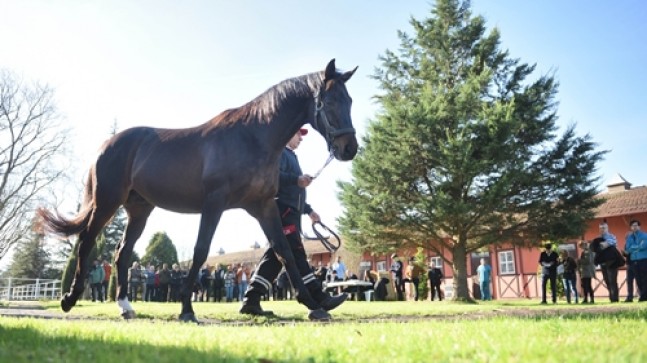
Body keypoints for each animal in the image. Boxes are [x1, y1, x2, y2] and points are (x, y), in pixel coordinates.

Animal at [39, 59, 360, 324]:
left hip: (139, 209)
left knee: (122, 253)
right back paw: (69, 299)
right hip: (107, 202)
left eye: (350, 100)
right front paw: (186, 309)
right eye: (329, 101)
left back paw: (125, 306)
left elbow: (285, 251)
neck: (253, 136)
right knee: (86, 241)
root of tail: (106, 145)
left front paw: (314, 305)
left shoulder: (264, 205)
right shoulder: (214, 203)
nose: (349, 149)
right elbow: (200, 250)